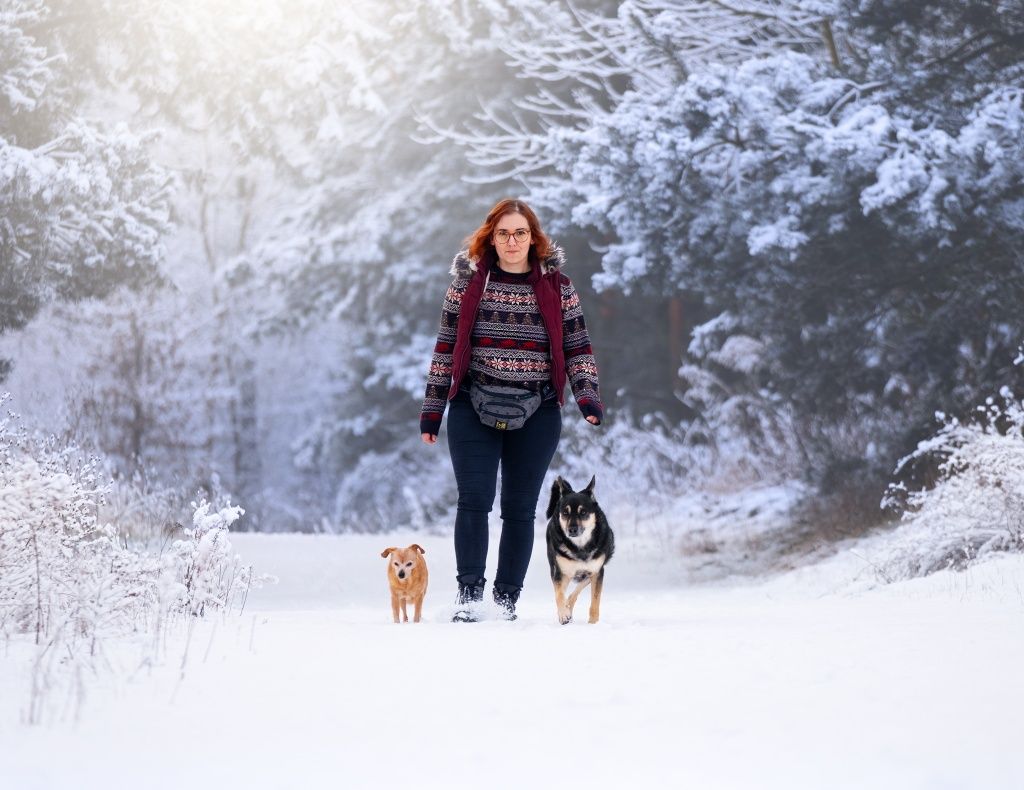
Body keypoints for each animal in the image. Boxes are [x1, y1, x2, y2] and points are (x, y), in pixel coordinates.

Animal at [544, 475, 614, 622]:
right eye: (565, 513)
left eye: (583, 512)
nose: (572, 529)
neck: (580, 547)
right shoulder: (560, 572)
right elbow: (558, 594)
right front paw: (563, 614)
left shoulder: (597, 571)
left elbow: (595, 600)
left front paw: (593, 623)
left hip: (589, 573)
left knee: (576, 590)